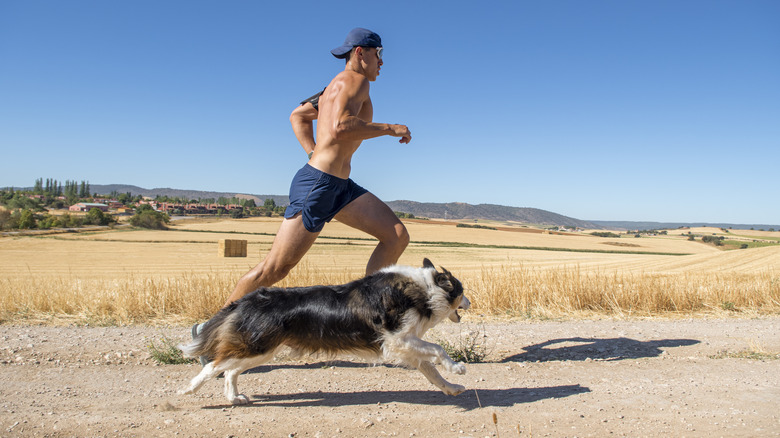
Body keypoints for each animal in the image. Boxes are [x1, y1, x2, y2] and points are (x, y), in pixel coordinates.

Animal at [178, 258, 470, 406]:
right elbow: (437, 349)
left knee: (230, 370)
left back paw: (234, 397)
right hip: (256, 346)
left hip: (261, 350)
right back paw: (188, 390)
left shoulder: (407, 347)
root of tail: (245, 300)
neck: (426, 289)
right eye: (462, 291)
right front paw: (457, 368)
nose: (470, 302)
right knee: (214, 366)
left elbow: (432, 372)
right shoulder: (398, 340)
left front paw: (452, 387)